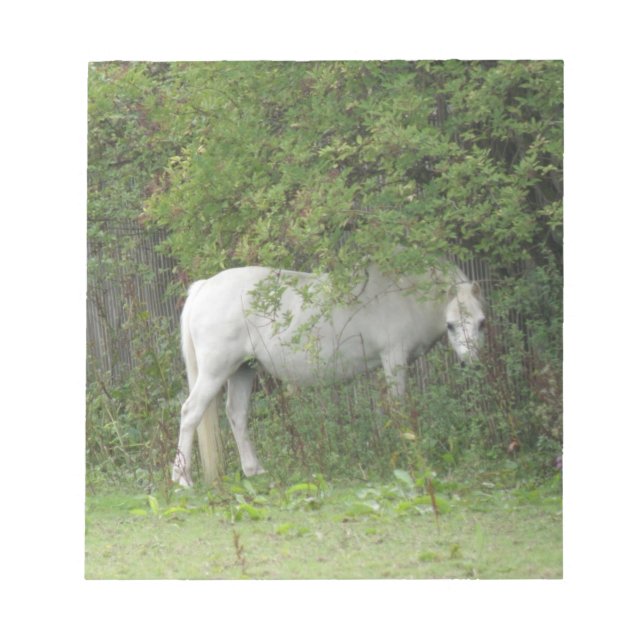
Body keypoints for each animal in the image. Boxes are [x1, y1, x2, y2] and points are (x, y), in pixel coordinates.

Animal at [172, 262, 486, 486]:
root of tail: (204, 287)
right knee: (190, 412)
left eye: (481, 323)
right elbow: (397, 408)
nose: (472, 363)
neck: (403, 293)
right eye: (451, 325)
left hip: (243, 370)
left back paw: (255, 471)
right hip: (215, 371)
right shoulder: (393, 358)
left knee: (237, 414)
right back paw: (182, 479)